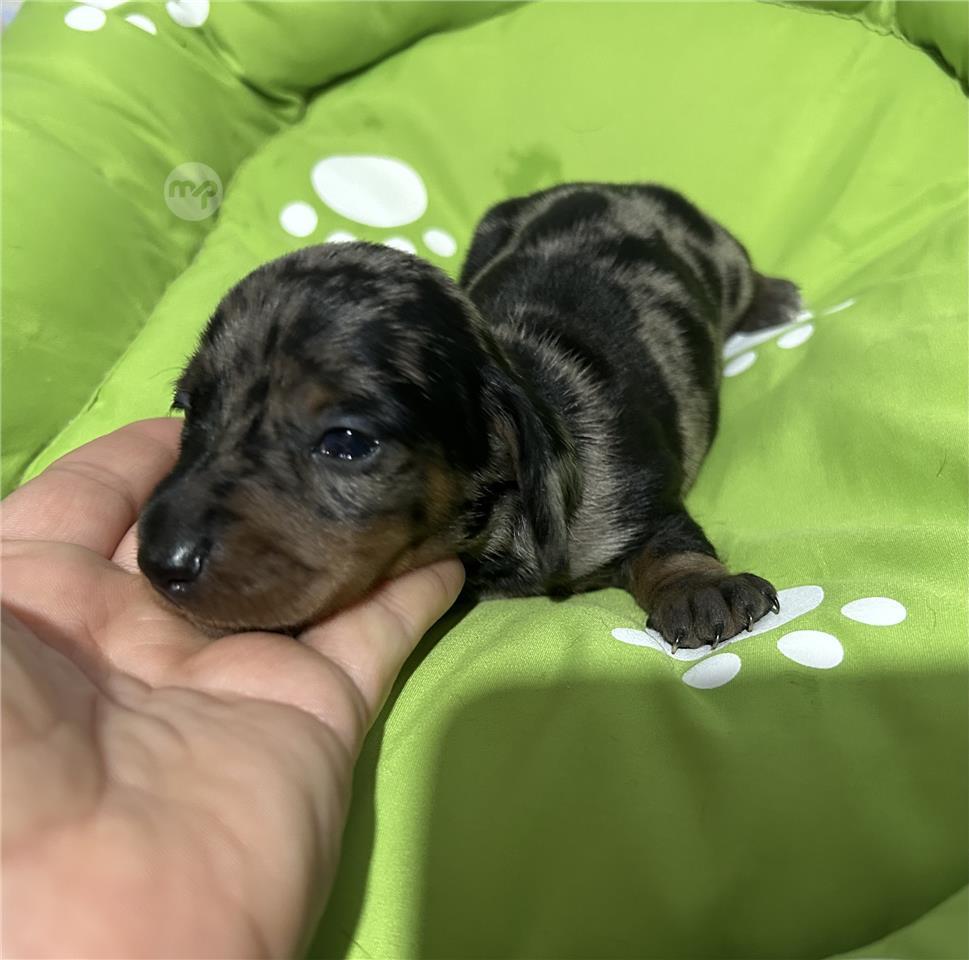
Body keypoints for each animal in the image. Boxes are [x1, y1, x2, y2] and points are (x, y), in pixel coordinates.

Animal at [138, 183, 799, 649]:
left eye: (346, 441)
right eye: (189, 409)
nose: (157, 564)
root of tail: (609, 184)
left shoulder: (636, 497)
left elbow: (670, 539)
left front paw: (701, 588)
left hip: (718, 251)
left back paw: (773, 298)